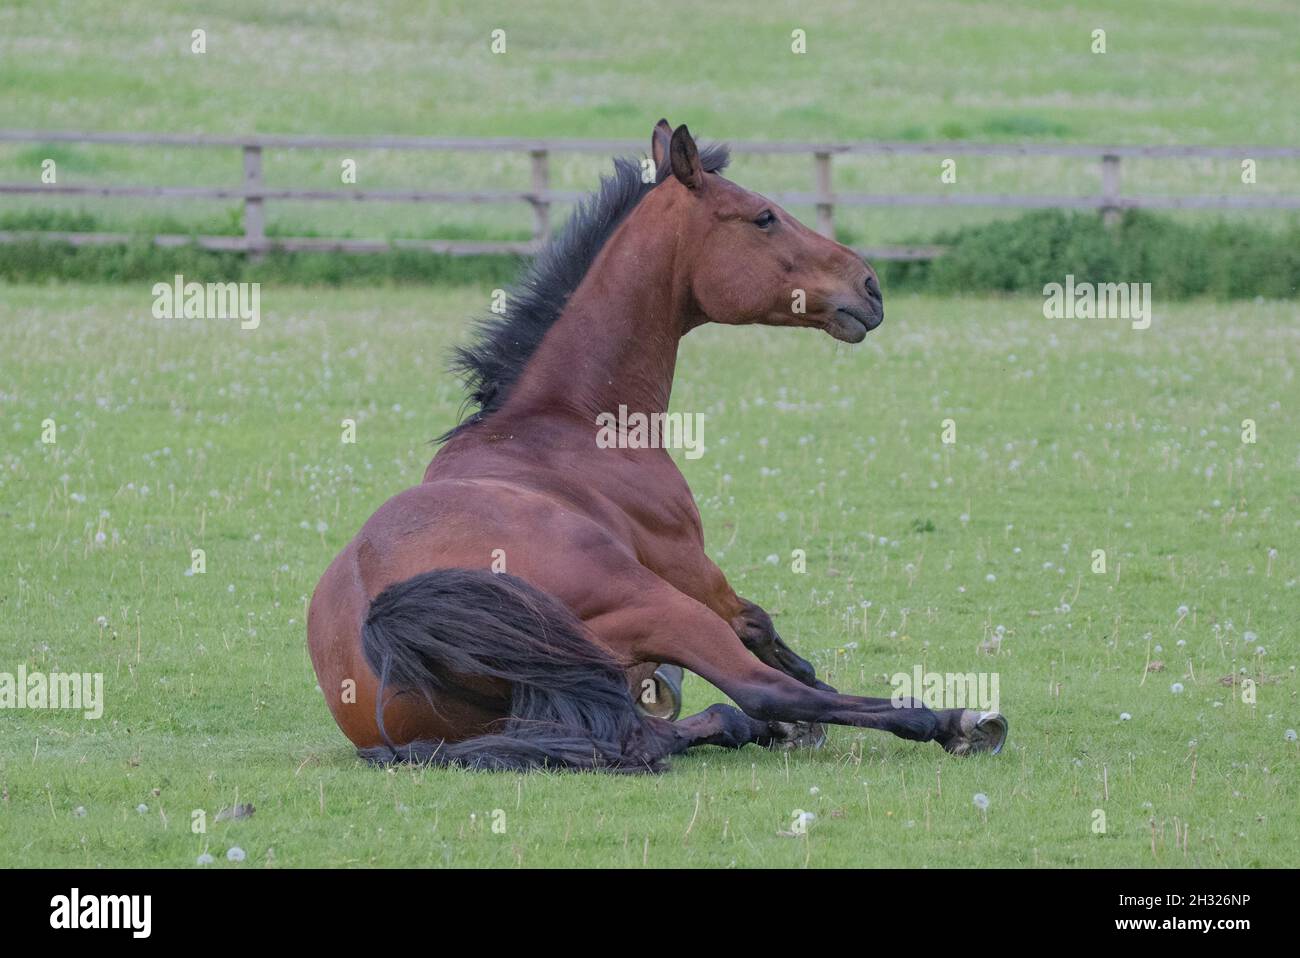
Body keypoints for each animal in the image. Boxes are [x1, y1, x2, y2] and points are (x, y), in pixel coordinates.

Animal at [306, 120, 1008, 772]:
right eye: (763, 216)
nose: (869, 287)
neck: (568, 423)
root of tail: (386, 620)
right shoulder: (693, 571)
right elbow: (761, 628)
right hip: (659, 606)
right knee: (756, 690)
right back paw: (951, 720)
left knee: (663, 731)